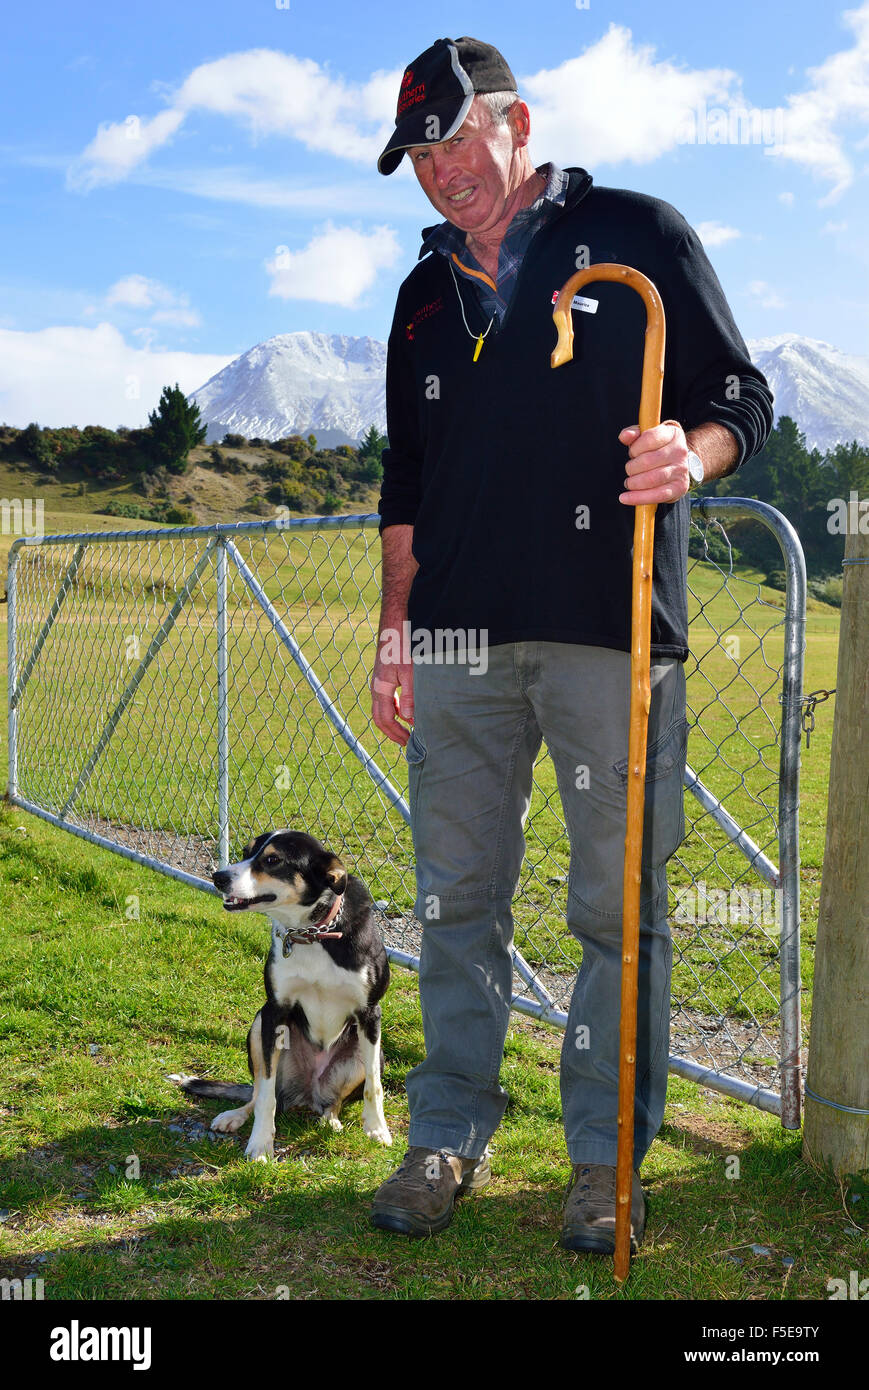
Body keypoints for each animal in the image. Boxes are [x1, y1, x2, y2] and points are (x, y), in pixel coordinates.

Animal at [171, 828, 392, 1156]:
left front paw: (377, 1129)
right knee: (260, 1091)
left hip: (369, 1052)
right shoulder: (274, 1009)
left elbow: (373, 1087)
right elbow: (265, 1095)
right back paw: (235, 1116)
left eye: (273, 860)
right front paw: (261, 1144)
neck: (312, 933)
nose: (218, 877)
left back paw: (330, 1119)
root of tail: (306, 1096)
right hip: (258, 1024)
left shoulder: (370, 1013)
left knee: (335, 1101)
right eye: (246, 852)